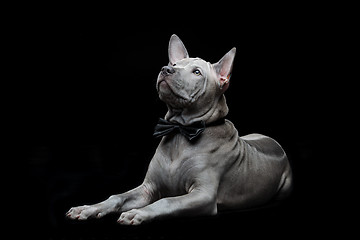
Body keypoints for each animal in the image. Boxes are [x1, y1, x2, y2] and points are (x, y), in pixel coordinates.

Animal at [67, 34, 292, 226]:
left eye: (197, 72)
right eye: (175, 64)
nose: (166, 69)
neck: (180, 132)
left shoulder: (203, 196)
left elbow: (167, 201)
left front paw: (138, 213)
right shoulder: (147, 188)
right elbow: (117, 196)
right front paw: (88, 208)